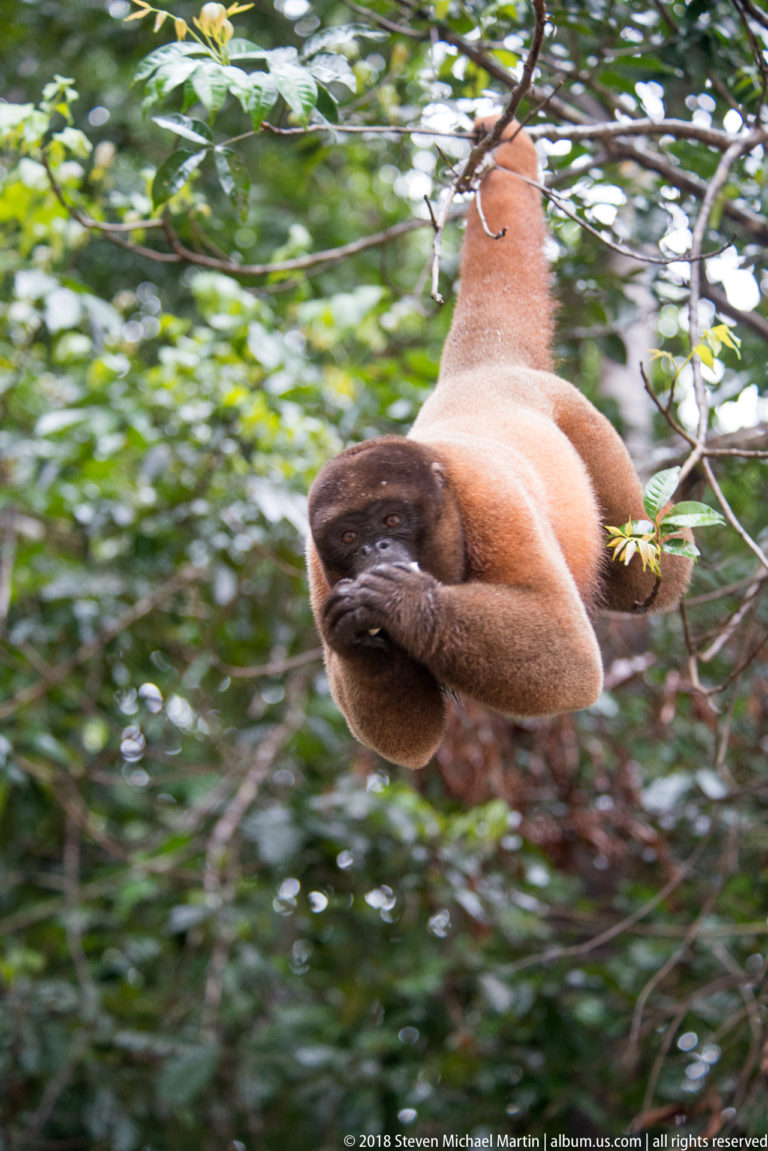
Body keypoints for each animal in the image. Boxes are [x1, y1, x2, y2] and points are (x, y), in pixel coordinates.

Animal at [306, 117, 693, 770]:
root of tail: (480, 372)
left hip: (580, 416)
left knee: (646, 574)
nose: (376, 551)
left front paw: (407, 604)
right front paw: (350, 630)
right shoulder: (315, 563)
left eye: (392, 519)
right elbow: (410, 740)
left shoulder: (491, 497)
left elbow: (570, 658)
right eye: (349, 537)